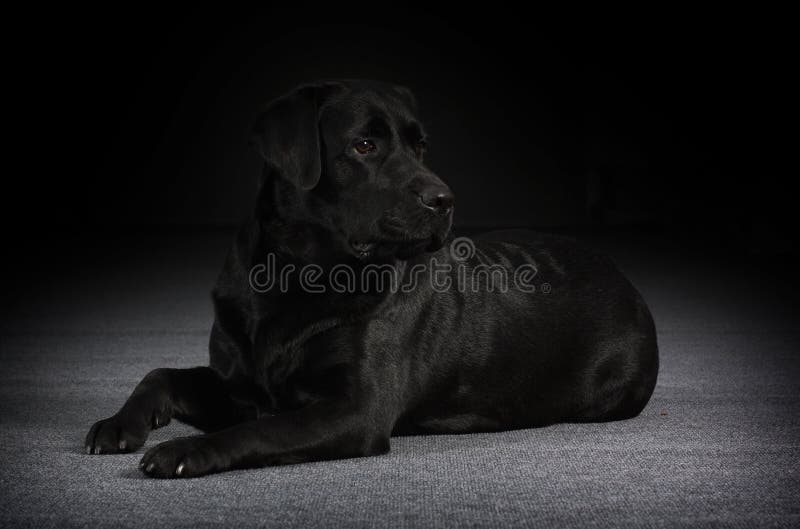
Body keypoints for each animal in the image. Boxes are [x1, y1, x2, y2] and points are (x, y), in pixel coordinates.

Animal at [86, 79, 656, 478]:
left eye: (420, 145)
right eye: (364, 145)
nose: (445, 199)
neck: (296, 273)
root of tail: (622, 273)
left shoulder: (355, 410)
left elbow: (262, 429)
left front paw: (184, 449)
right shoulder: (237, 384)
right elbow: (159, 373)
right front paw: (120, 424)